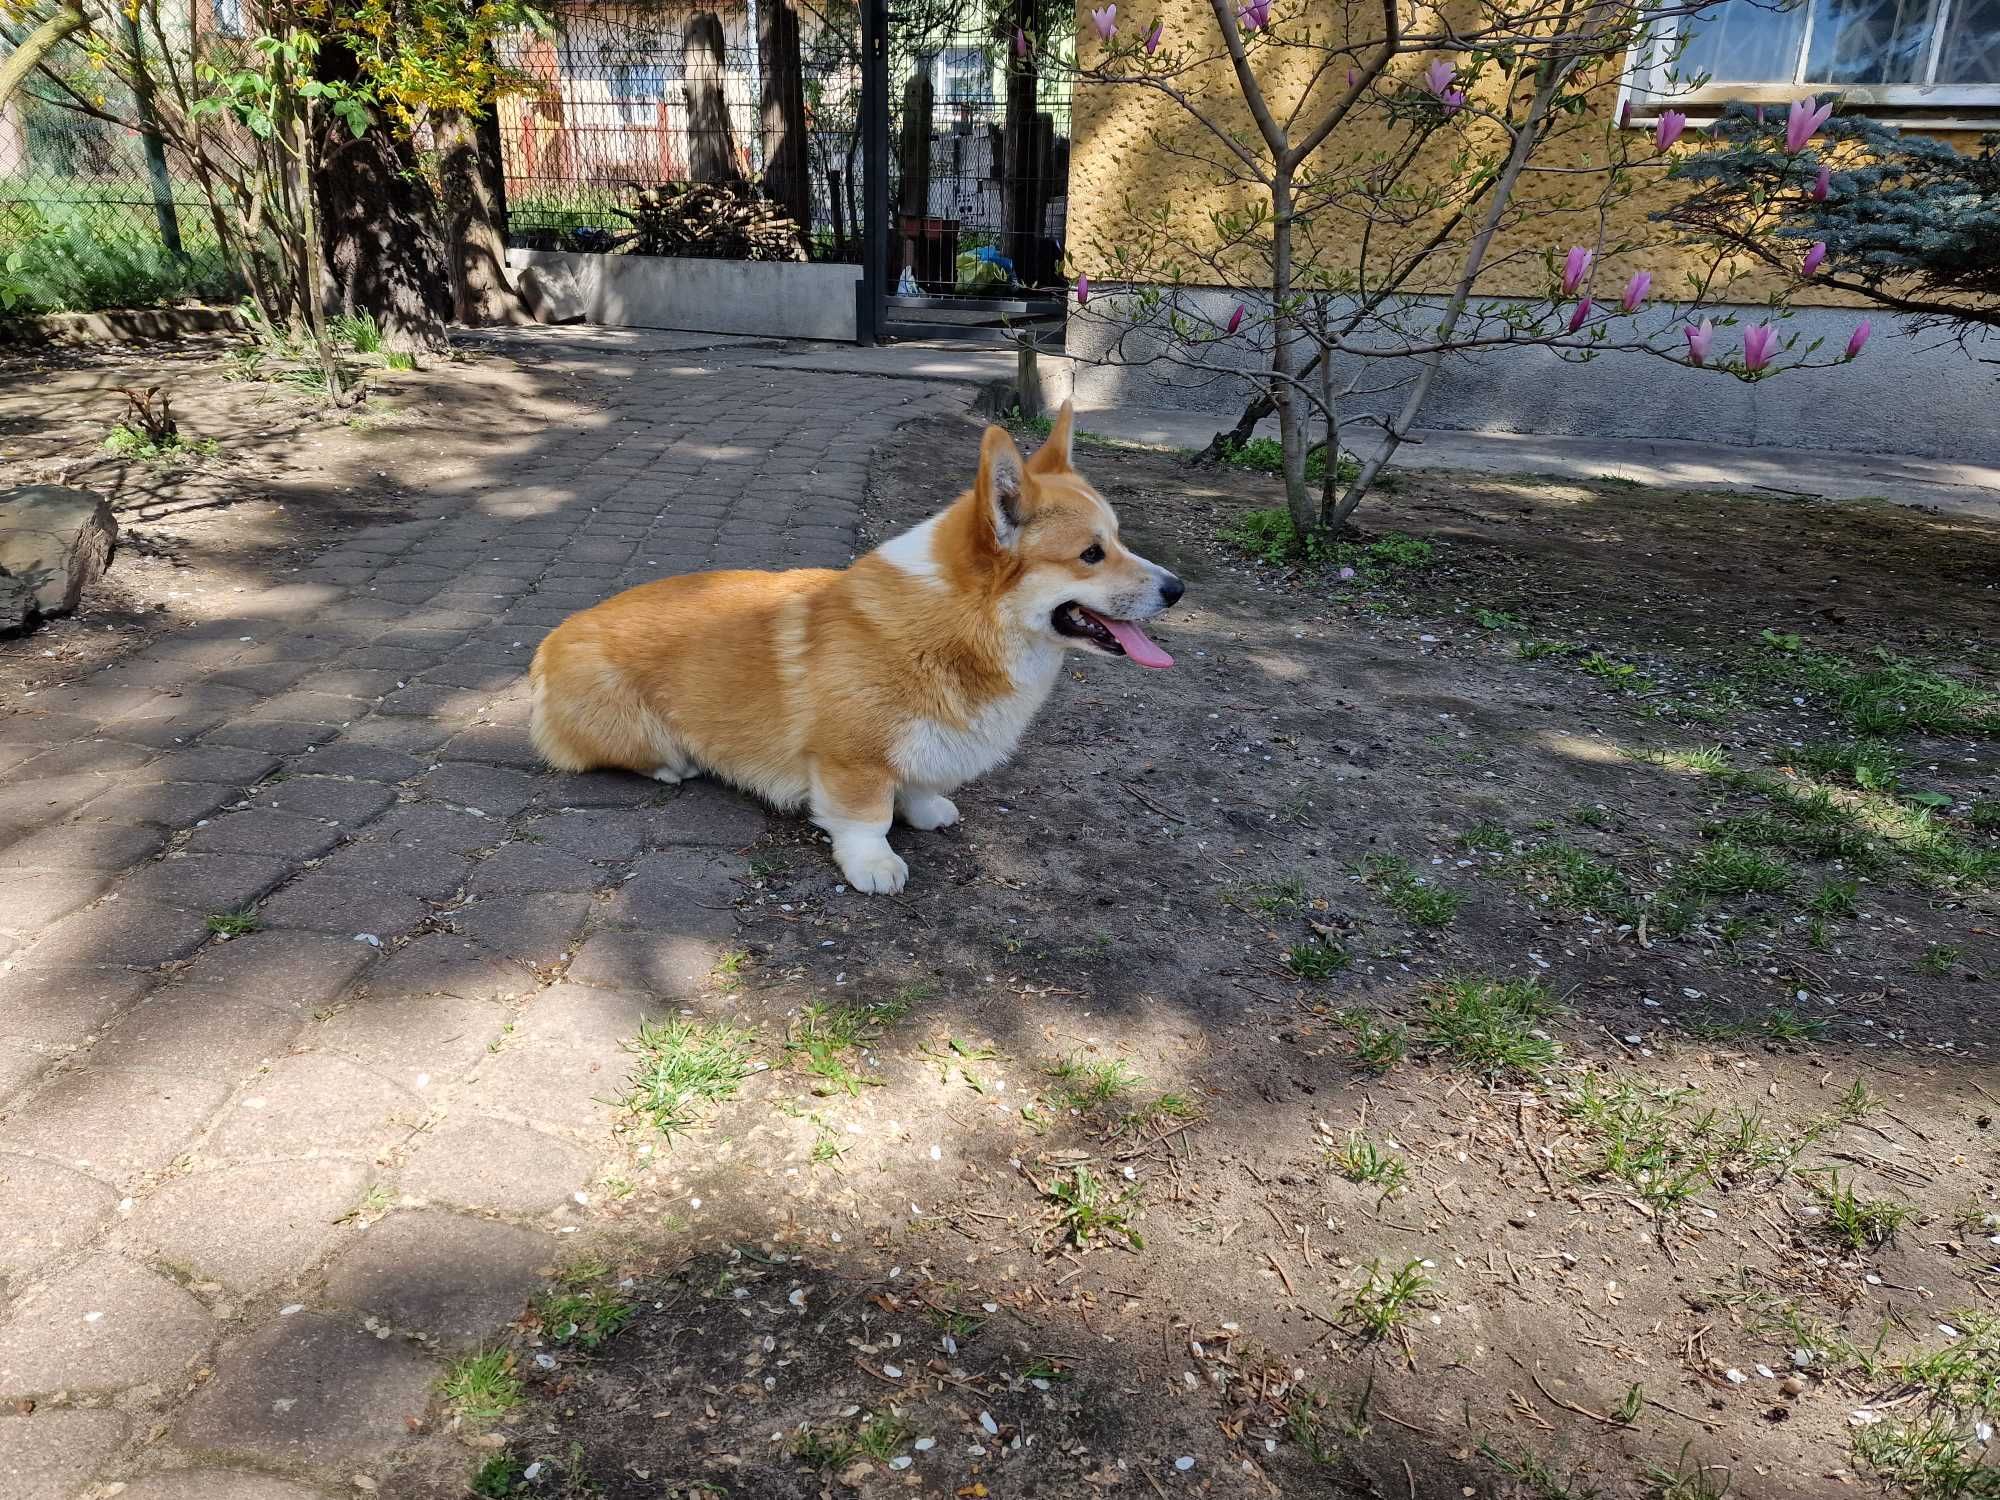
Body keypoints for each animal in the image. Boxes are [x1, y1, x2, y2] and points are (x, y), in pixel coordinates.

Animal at [532, 402, 1184, 892]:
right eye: (1091, 554)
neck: (962, 623)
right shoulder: (851, 760)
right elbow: (865, 816)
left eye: (1119, 539)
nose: (1178, 589)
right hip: (632, 725)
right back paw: (676, 766)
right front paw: (875, 864)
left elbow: (917, 783)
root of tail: (553, 637)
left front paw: (926, 810)